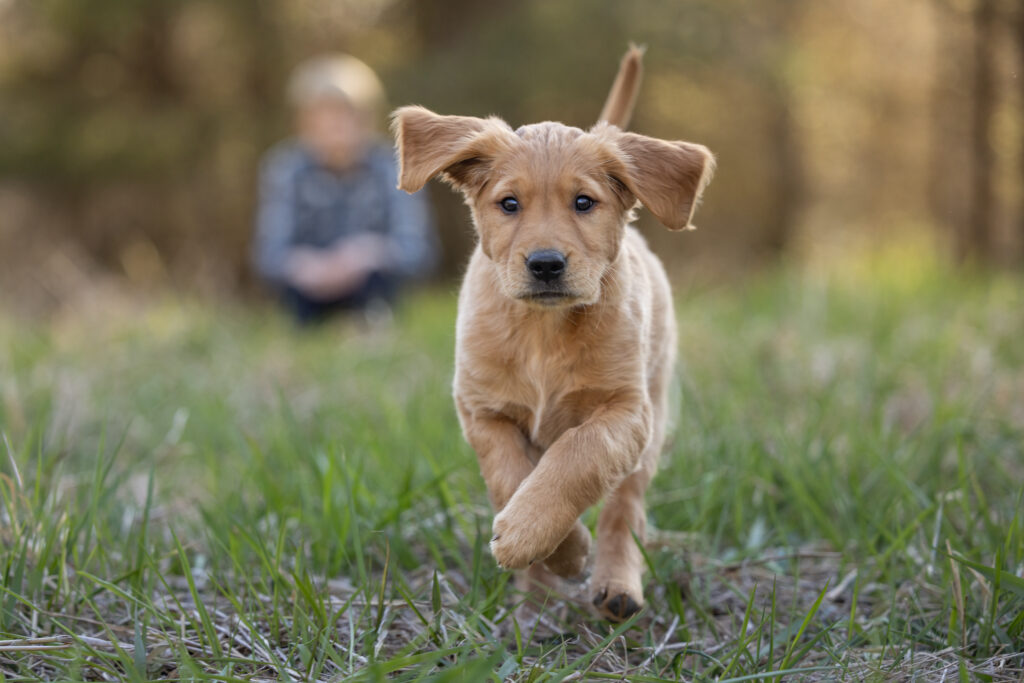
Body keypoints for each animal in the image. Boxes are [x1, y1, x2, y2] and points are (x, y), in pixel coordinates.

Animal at [389, 45, 712, 622]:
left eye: (584, 203)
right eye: (509, 204)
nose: (545, 264)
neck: (544, 330)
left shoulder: (626, 411)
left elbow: (577, 456)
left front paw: (537, 537)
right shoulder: (483, 410)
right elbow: (510, 477)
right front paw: (551, 547)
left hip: (652, 421)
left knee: (624, 509)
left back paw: (615, 585)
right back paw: (535, 597)